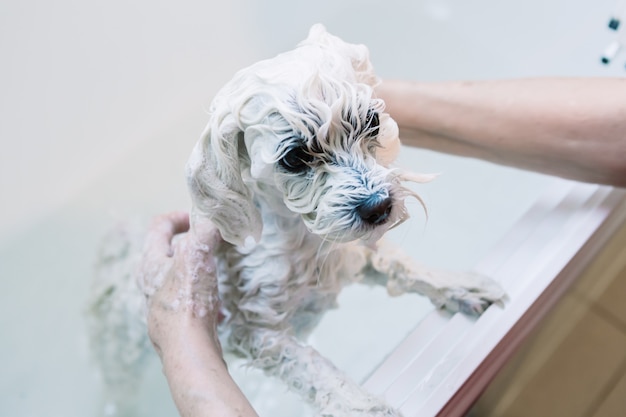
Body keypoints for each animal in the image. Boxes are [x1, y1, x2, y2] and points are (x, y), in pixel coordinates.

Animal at [88, 23, 504, 416]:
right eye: (294, 157)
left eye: (372, 121)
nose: (379, 207)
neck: (303, 240)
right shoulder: (256, 332)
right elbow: (313, 370)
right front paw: (364, 407)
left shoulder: (351, 255)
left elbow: (401, 263)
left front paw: (461, 285)